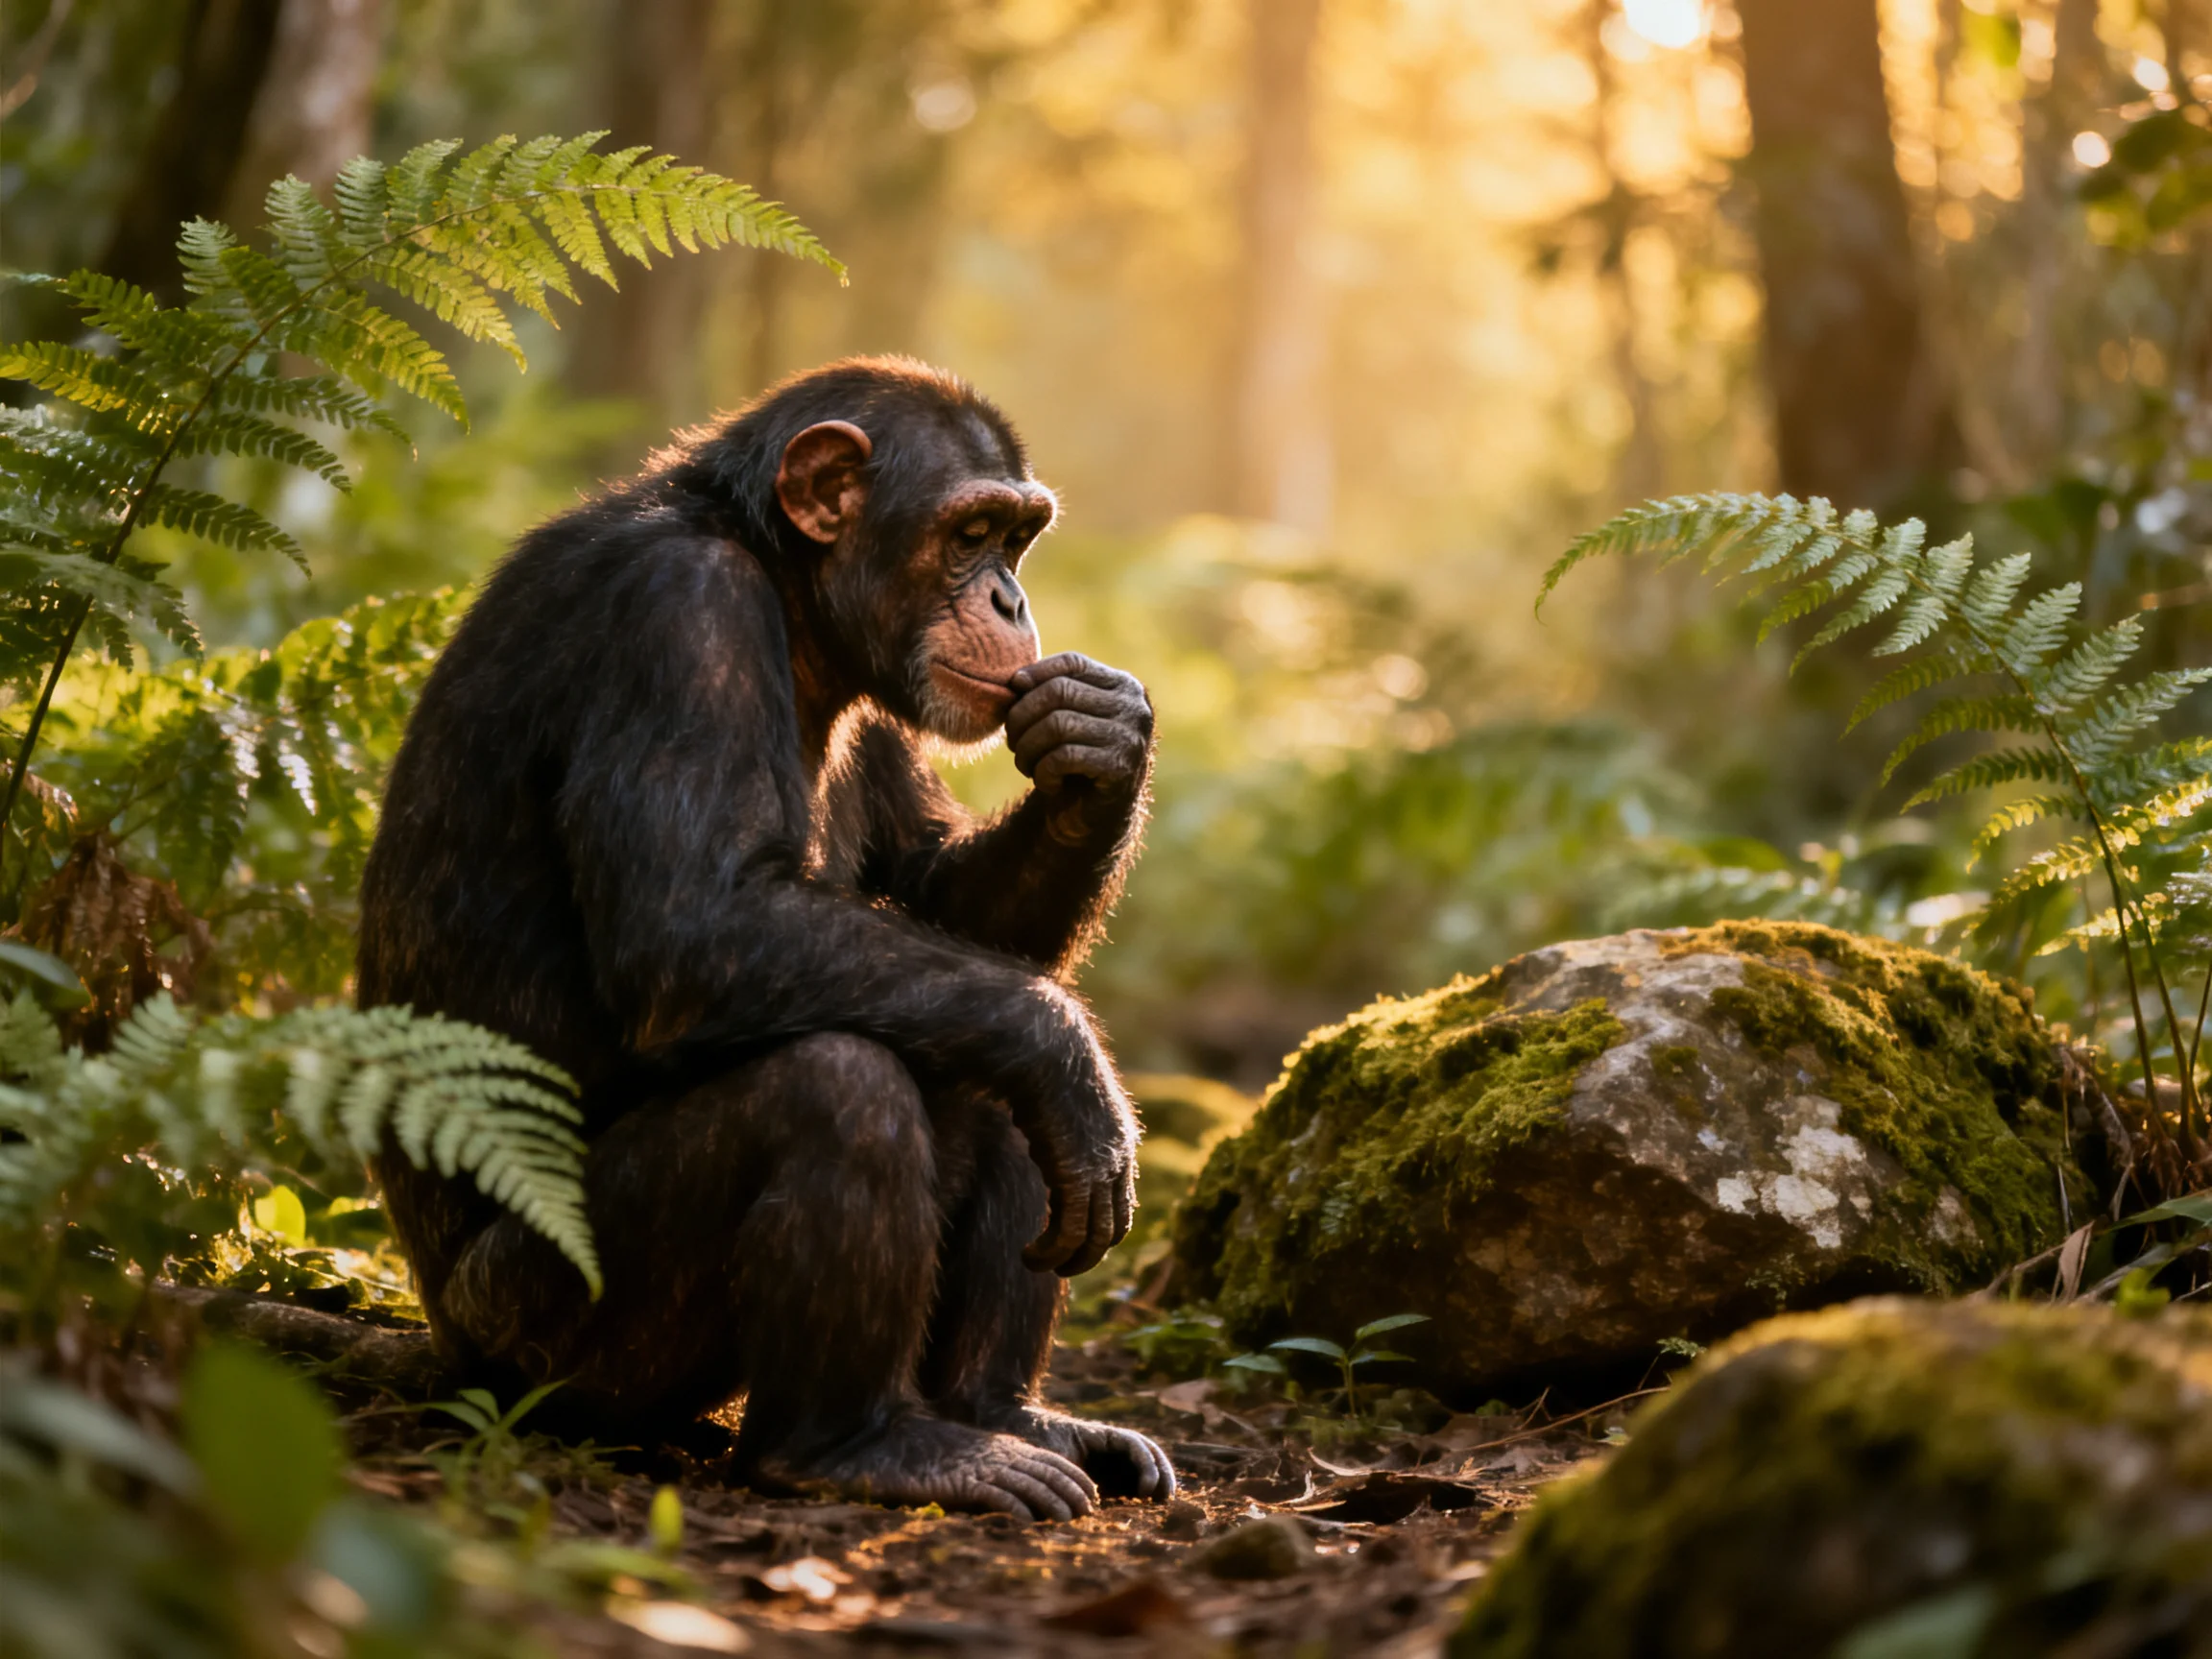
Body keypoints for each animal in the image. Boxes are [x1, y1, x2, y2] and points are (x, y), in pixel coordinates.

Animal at [358, 357, 1174, 1520]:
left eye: (1017, 541)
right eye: (970, 534)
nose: (1010, 600)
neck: (794, 603)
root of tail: (440, 1344)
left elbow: (943, 896)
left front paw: (1103, 741)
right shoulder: (678, 617)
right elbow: (693, 931)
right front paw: (1069, 1056)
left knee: (978, 1067)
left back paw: (1003, 1414)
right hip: (541, 1337)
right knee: (837, 1082)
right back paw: (854, 1444)